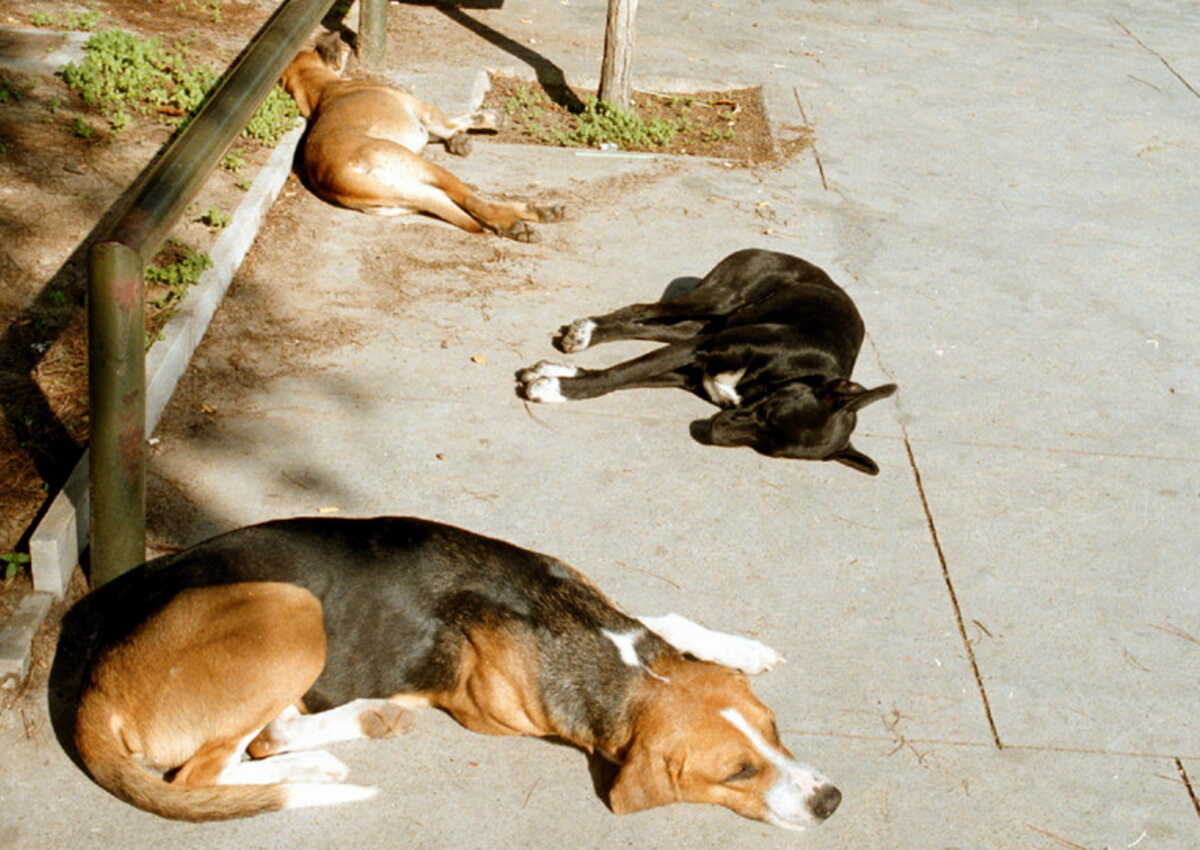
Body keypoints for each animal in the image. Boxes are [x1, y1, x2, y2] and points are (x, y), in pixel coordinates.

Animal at [60, 513, 840, 825]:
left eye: (776, 730)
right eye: (737, 772)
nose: (830, 801)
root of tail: (96, 682)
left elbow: (671, 623)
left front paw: (738, 647)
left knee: (265, 737)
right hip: (289, 608)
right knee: (214, 768)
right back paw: (328, 759)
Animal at [278, 36, 564, 241]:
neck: (322, 89)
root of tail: (338, 176)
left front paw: (460, 140)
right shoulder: (427, 115)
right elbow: (454, 121)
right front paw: (486, 120)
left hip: (411, 195)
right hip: (427, 170)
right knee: (475, 202)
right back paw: (524, 221)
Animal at [516, 248, 902, 475]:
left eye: (767, 449)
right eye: (768, 413)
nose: (713, 431)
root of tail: (778, 250)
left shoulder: (688, 371)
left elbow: (623, 374)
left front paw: (557, 378)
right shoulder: (701, 348)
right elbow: (621, 373)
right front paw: (557, 389)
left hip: (705, 324)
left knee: (649, 325)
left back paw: (586, 336)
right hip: (718, 300)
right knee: (642, 310)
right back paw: (586, 331)